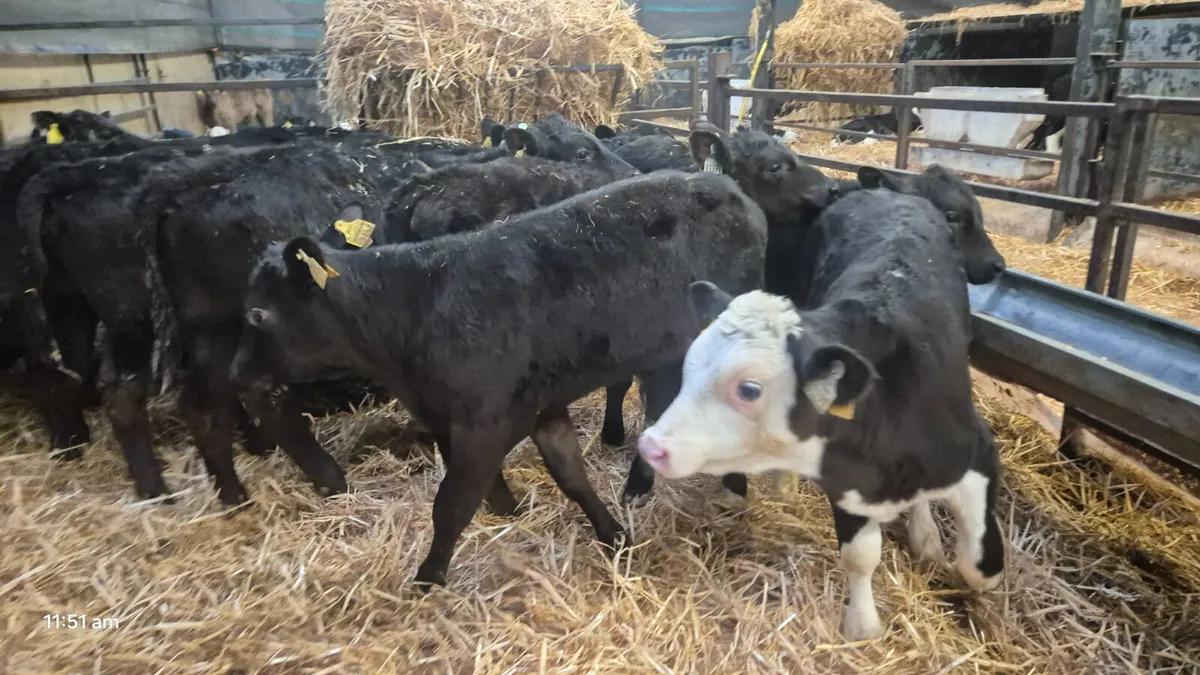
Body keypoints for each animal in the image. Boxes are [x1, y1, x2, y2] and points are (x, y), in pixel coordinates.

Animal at [228, 170, 769, 587]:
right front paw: (610, 534)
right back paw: (641, 484)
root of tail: (730, 188)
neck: (413, 311)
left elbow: (451, 504)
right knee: (660, 404)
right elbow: (569, 476)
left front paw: (427, 580)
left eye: (256, 314)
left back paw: (730, 482)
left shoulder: (483, 422)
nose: (234, 374)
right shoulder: (534, 408)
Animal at [637, 186, 1007, 642]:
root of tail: (885, 192)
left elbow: (979, 564)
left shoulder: (979, 453)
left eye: (749, 389)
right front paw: (863, 626)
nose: (651, 445)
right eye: (689, 365)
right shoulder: (846, 481)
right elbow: (860, 556)